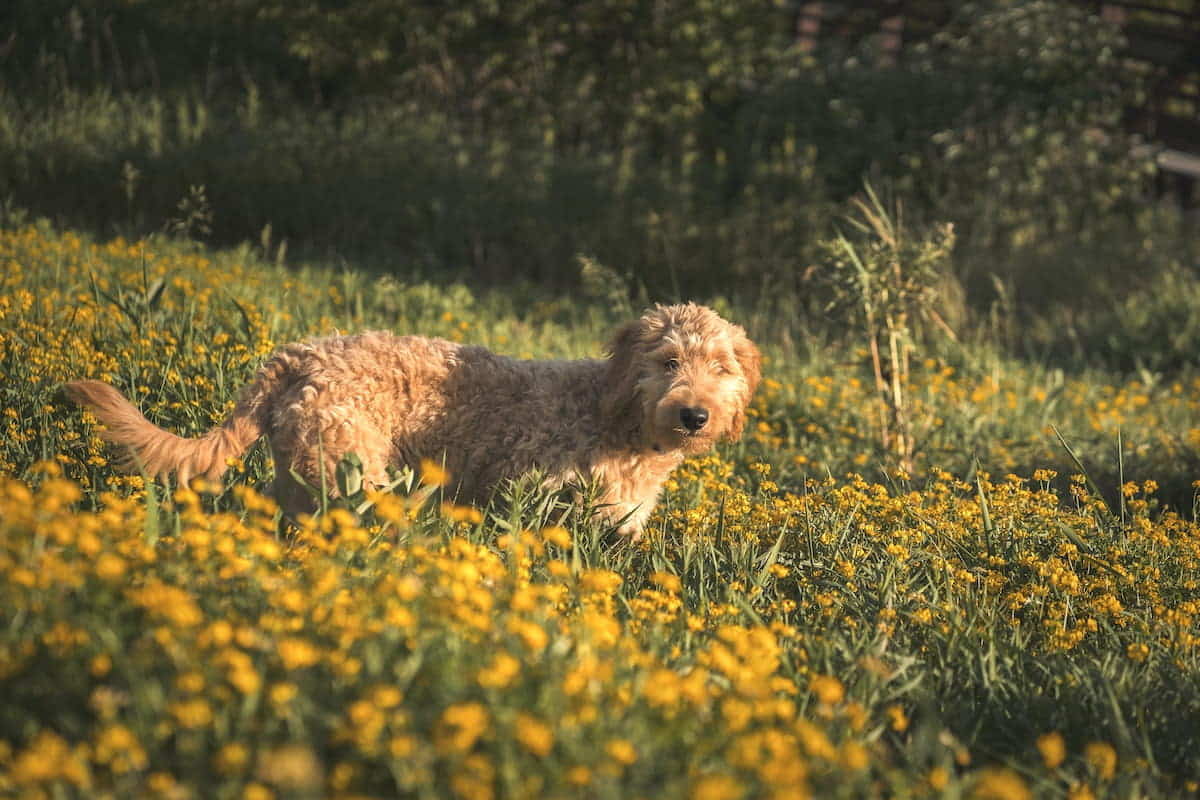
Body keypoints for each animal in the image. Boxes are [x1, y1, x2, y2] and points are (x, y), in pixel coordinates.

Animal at [65, 303, 758, 534]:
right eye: (668, 361)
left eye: (722, 366)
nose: (695, 414)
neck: (613, 412)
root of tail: (300, 354)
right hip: (352, 473)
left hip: (305, 469)